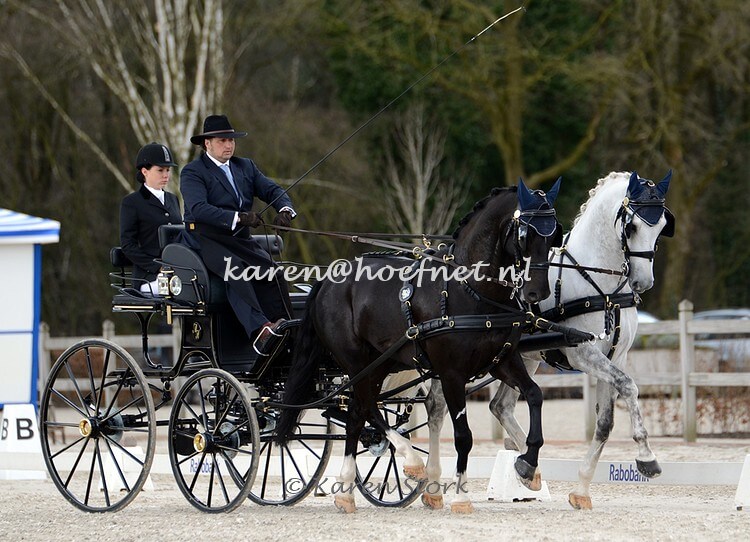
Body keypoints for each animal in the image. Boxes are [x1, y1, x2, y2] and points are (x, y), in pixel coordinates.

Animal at [275, 179, 563, 513]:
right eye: (524, 233)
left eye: (554, 234)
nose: (537, 292)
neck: (470, 290)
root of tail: (328, 279)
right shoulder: (452, 373)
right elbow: (463, 436)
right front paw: (461, 497)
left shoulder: (503, 361)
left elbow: (534, 395)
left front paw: (527, 465)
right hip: (357, 362)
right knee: (366, 408)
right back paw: (410, 461)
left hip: (380, 363)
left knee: (358, 413)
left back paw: (347, 492)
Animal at [477, 170, 674, 510]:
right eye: (632, 226)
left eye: (661, 226)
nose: (643, 282)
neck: (602, 288)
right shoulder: (583, 353)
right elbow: (630, 386)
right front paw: (647, 458)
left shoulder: (615, 356)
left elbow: (605, 422)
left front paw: (581, 489)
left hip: (524, 358)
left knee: (500, 406)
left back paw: (529, 469)